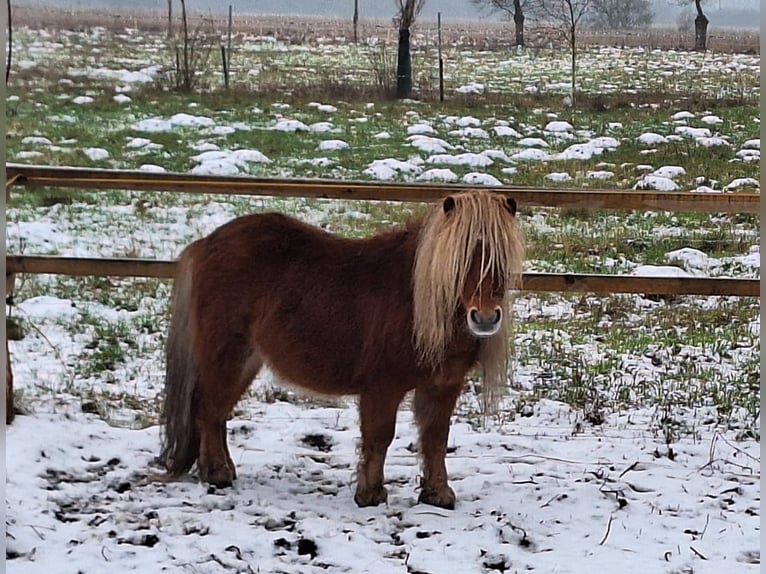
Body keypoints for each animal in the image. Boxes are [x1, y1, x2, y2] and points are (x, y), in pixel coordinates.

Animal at [160, 191, 524, 510]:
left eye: (502, 257)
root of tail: (206, 243)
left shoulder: (444, 385)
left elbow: (435, 439)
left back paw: (221, 471)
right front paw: (371, 495)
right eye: (462, 258)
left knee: (218, 411)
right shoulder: (383, 387)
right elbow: (379, 437)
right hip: (227, 355)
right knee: (208, 409)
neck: (416, 300)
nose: (485, 317)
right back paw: (218, 475)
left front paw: (438, 496)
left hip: (246, 360)